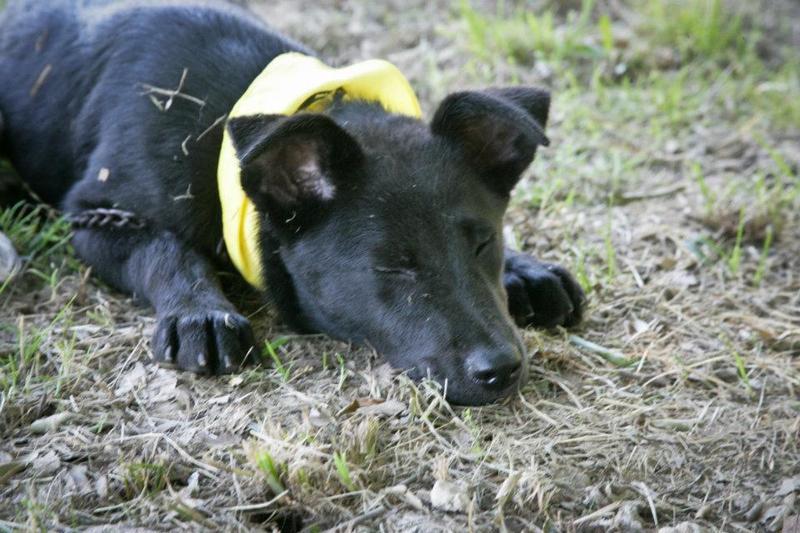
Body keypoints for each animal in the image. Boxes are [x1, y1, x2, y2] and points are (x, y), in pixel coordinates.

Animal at [1, 0, 588, 404]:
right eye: (393, 267)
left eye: (484, 243)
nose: (502, 370)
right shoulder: (98, 214)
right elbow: (166, 251)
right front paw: (200, 312)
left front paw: (525, 269)